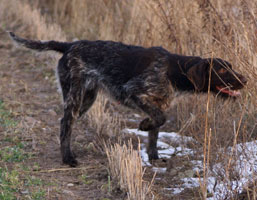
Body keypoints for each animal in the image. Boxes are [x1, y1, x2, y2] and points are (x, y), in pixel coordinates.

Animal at [8, 32, 246, 166]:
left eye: (230, 67)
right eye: (222, 71)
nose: (245, 80)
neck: (172, 71)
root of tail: (69, 46)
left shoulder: (157, 101)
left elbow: (155, 133)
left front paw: (154, 157)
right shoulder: (133, 92)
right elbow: (159, 119)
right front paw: (143, 124)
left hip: (87, 98)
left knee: (65, 122)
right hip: (75, 95)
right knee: (65, 123)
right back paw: (68, 158)